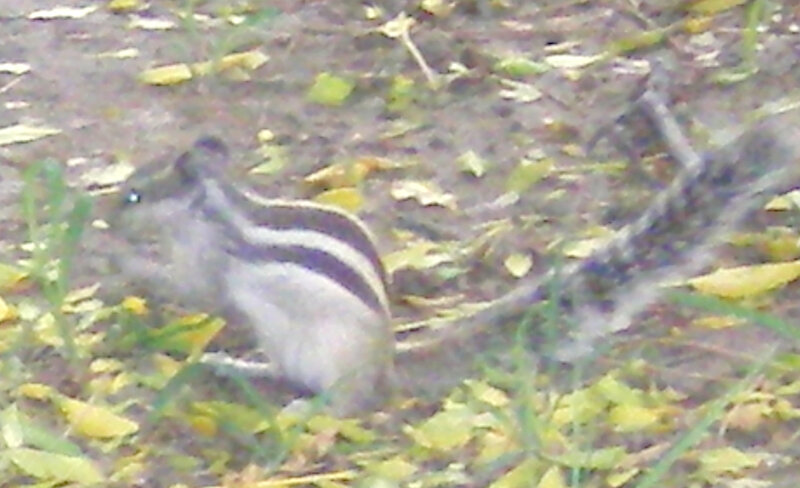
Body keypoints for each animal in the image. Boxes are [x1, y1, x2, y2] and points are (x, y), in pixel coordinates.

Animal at [104, 110, 800, 415]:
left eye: (135, 194)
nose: (108, 216)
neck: (214, 208)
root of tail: (387, 361)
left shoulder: (209, 260)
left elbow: (196, 290)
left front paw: (120, 262)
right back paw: (236, 367)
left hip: (325, 350)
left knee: (352, 400)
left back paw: (308, 406)